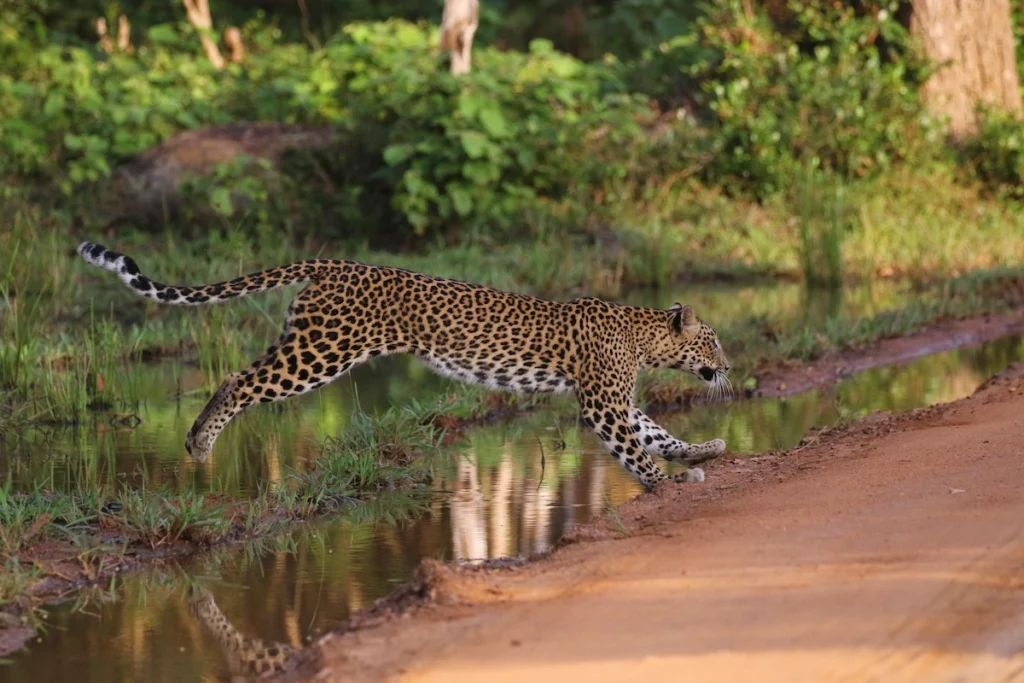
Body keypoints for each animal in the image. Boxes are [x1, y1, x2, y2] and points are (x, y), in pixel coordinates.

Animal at [77, 241, 732, 489]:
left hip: (302, 340)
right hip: (321, 353)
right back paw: (200, 445)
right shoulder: (602, 401)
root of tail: (332, 263)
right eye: (715, 342)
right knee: (239, 380)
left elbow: (656, 430)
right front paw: (664, 479)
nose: (728, 368)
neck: (643, 334)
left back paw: (196, 439)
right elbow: (635, 444)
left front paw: (703, 451)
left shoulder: (616, 399)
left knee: (241, 373)